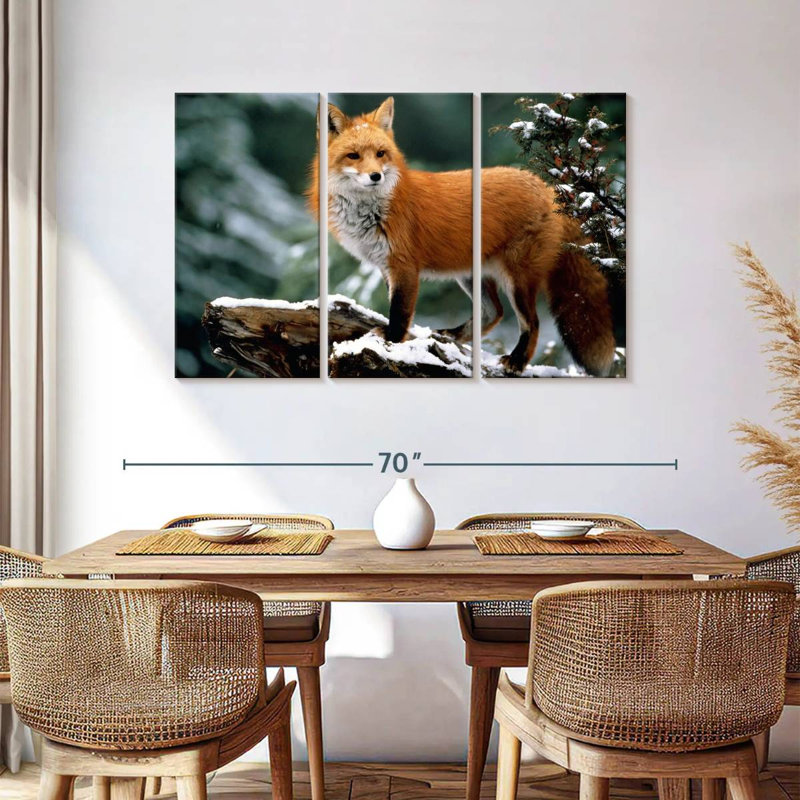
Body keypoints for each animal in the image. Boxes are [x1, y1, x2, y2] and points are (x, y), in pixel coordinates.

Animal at [308, 96, 616, 375]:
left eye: (381, 153)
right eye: (354, 156)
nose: (375, 176)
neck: (372, 211)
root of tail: (549, 188)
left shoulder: (404, 266)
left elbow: (399, 314)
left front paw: (392, 344)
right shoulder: (386, 266)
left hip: (517, 278)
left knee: (532, 322)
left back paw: (517, 361)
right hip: (471, 273)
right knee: (494, 312)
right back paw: (453, 337)